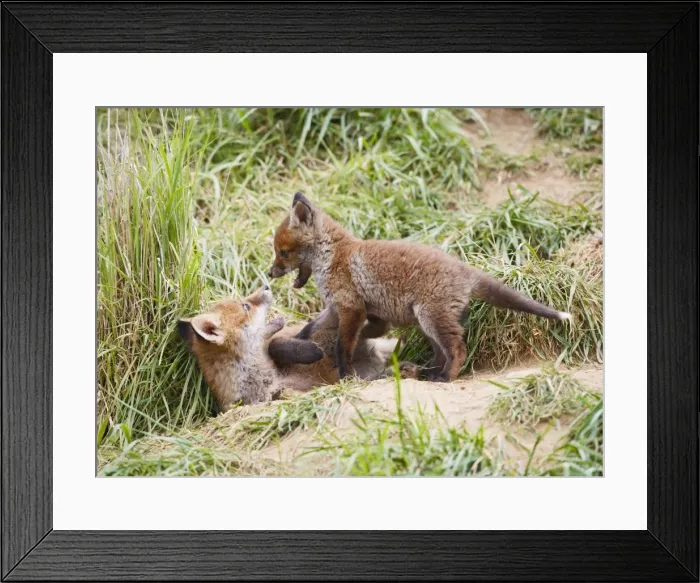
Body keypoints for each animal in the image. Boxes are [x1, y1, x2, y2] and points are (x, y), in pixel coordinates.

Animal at [178, 285, 416, 412]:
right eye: (246, 306)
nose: (266, 285)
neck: (268, 377)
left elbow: (277, 344)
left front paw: (310, 351)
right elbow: (284, 393)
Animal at [269, 192, 572, 383]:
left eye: (282, 252)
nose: (270, 273)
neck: (332, 256)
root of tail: (465, 270)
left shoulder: (351, 308)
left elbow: (344, 345)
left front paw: (345, 374)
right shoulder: (341, 308)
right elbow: (313, 327)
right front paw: (303, 340)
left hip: (431, 317)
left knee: (457, 349)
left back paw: (445, 378)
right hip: (427, 322)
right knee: (441, 352)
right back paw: (428, 373)